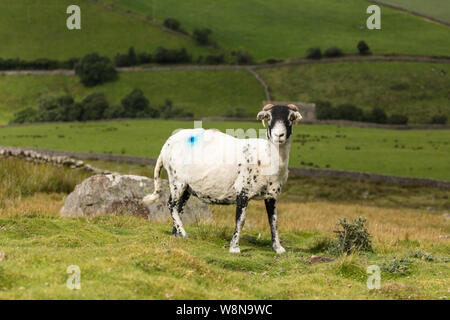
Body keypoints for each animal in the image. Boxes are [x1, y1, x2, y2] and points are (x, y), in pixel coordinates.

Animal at [143, 104, 302, 254]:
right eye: (268, 117)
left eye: (291, 118)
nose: (279, 135)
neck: (267, 156)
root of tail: (166, 145)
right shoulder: (243, 190)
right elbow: (240, 220)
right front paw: (234, 247)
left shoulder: (271, 195)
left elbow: (273, 221)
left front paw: (278, 248)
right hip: (176, 179)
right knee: (171, 205)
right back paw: (182, 232)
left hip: (187, 186)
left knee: (179, 207)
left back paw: (176, 234)